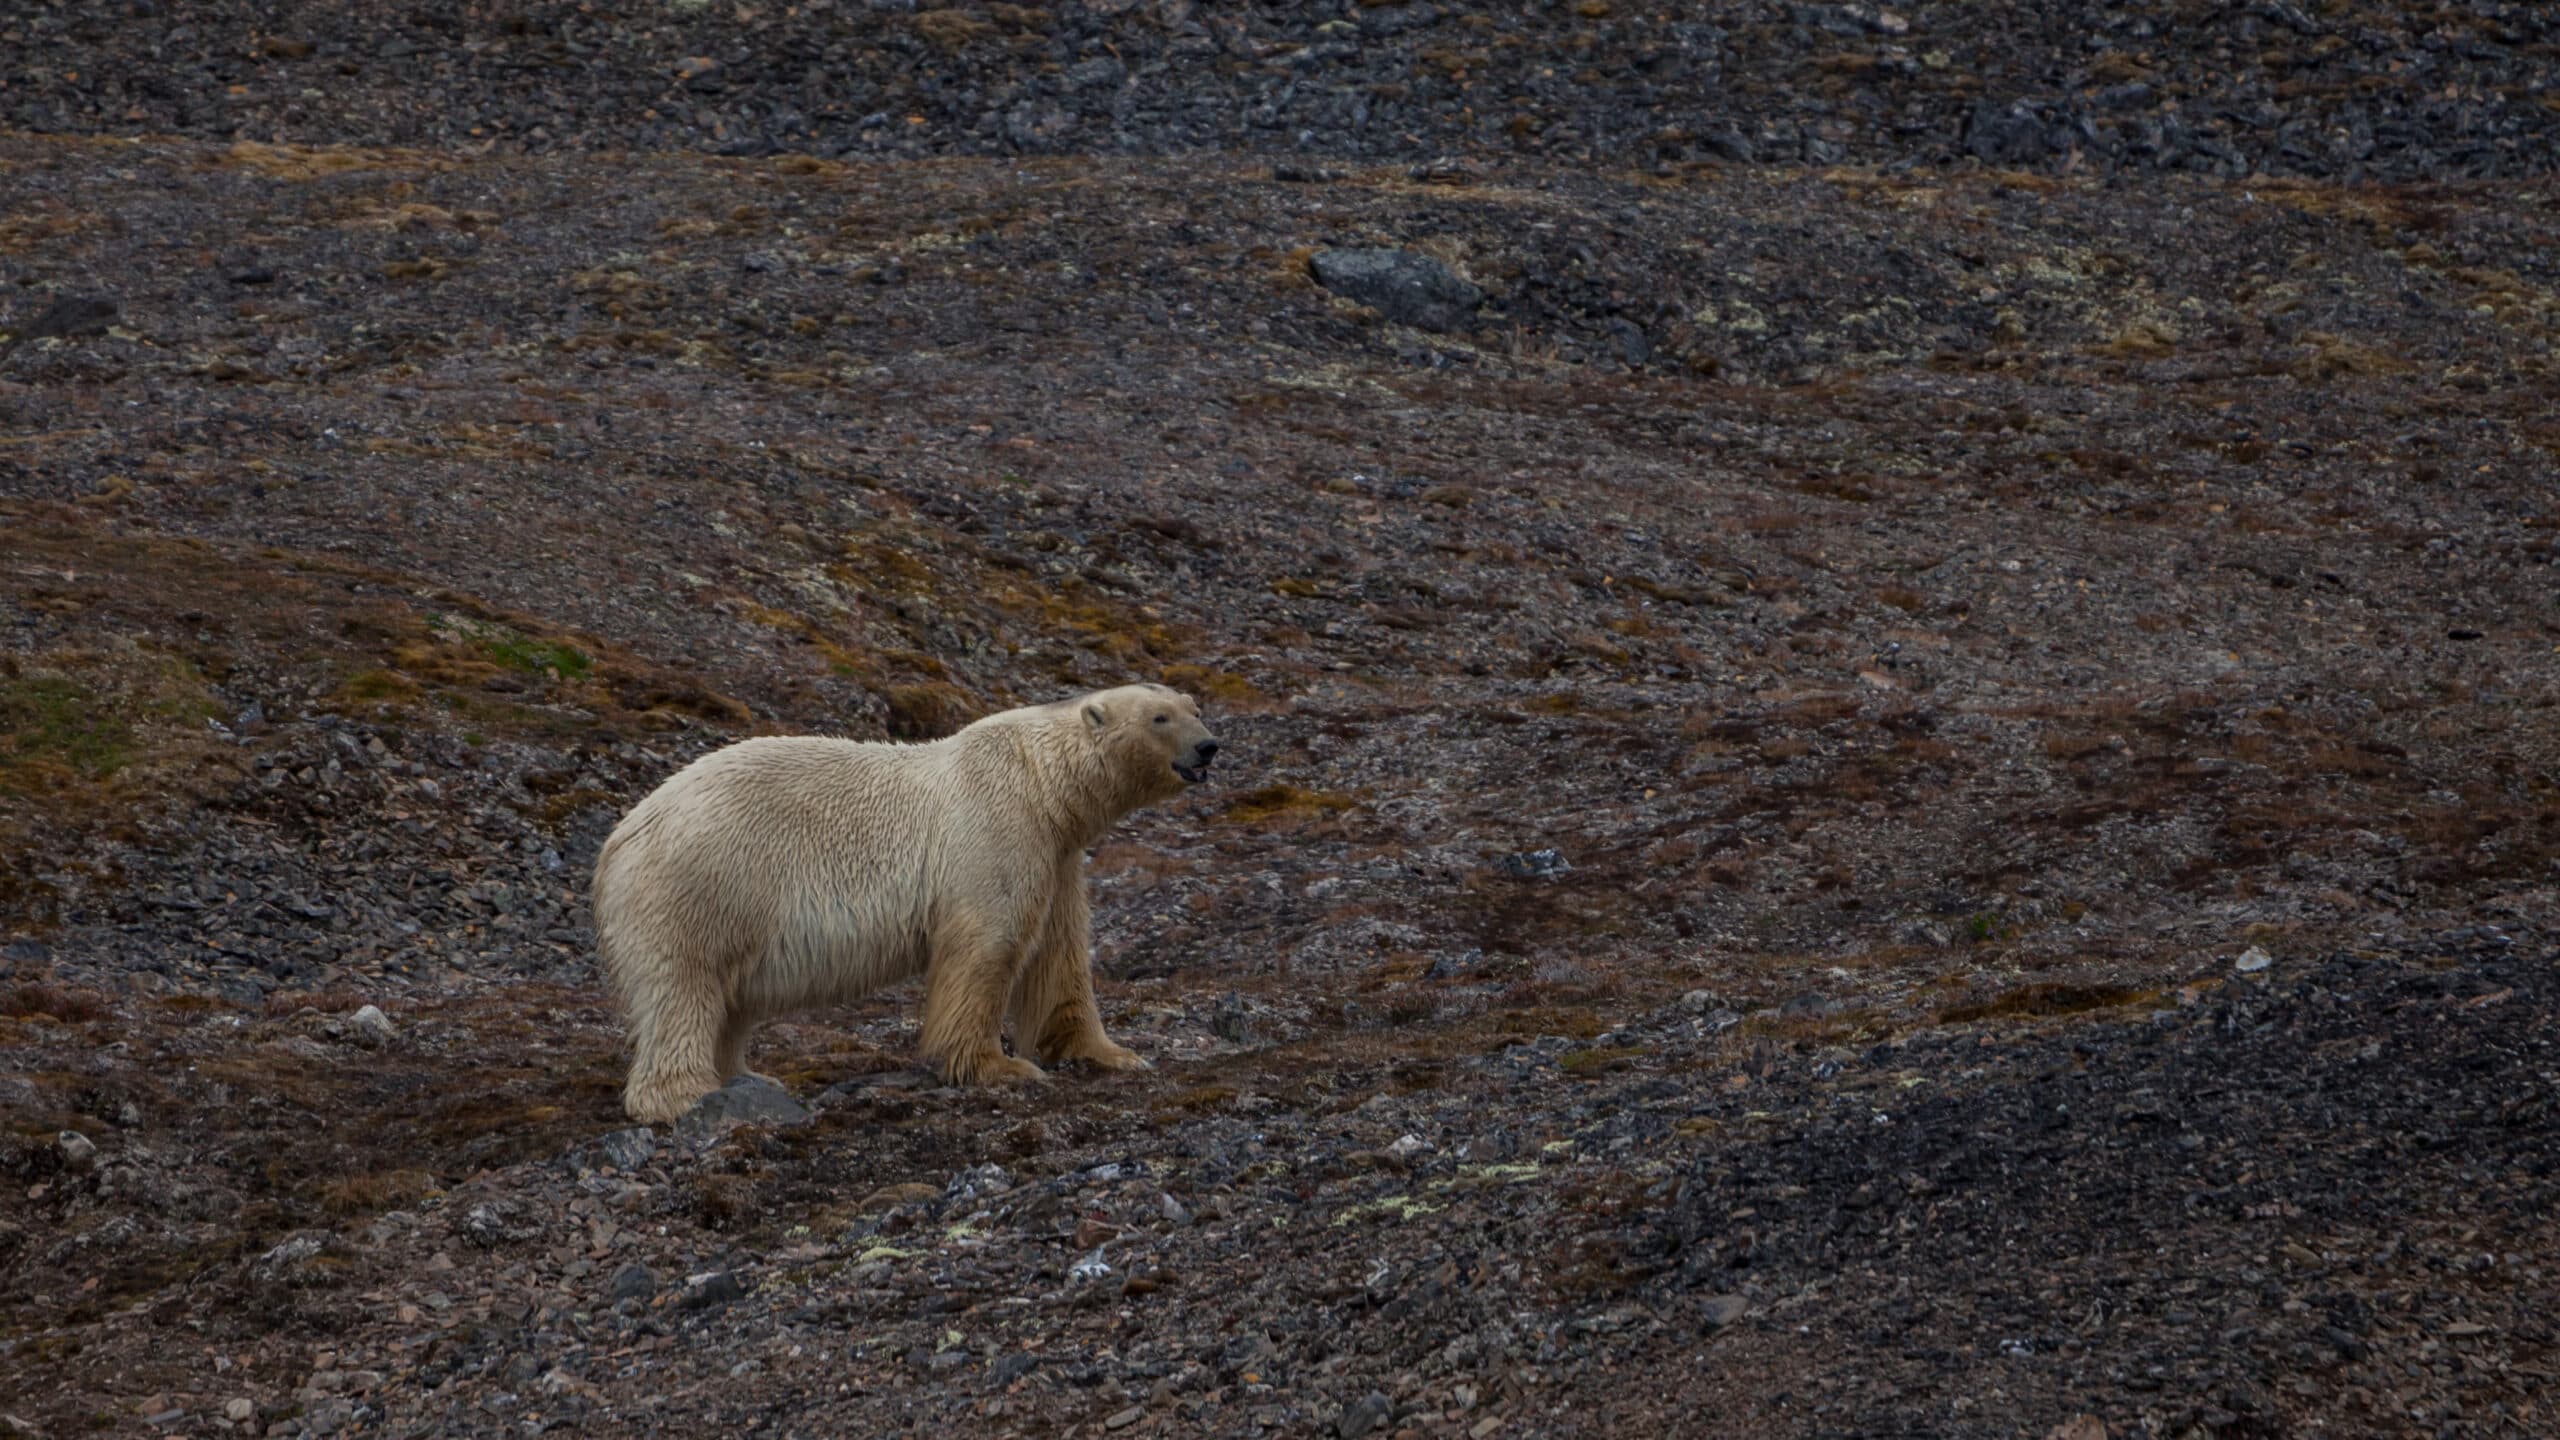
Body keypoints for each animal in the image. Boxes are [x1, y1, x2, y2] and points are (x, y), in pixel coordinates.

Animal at [592, 683, 1220, 1124]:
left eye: (1193, 706)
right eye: (1159, 718)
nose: (1210, 746)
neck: (1040, 782)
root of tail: (621, 837)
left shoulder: (1058, 855)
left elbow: (1058, 955)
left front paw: (1109, 1053)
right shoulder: (996, 830)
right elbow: (988, 943)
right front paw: (999, 1066)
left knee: (726, 1001)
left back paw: (749, 1078)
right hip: (704, 882)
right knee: (684, 987)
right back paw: (687, 1094)